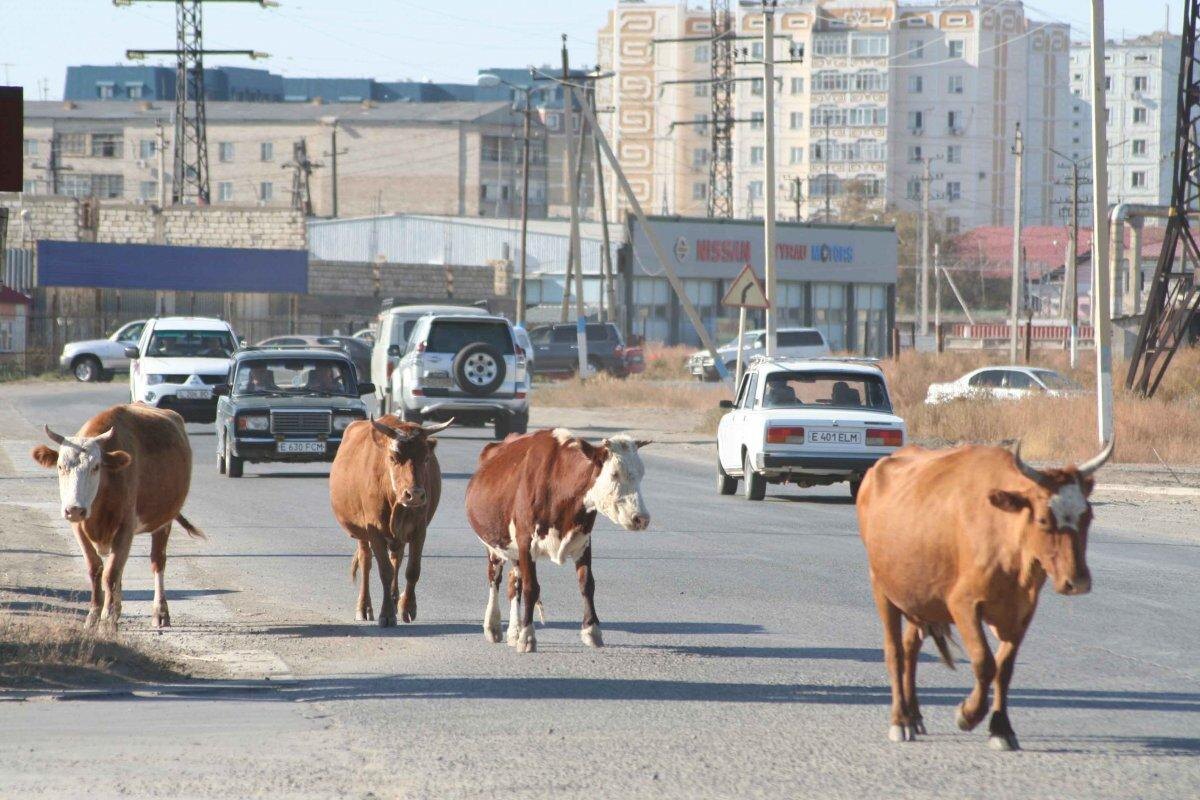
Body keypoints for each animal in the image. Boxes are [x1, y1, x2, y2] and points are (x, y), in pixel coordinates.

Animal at [29, 407, 206, 633]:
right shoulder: (79, 528)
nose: (74, 509)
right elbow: (96, 570)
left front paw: (107, 620)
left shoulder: (125, 528)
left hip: (164, 519)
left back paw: (160, 612)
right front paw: (95, 616)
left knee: (157, 562)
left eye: (96, 467)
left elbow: (111, 573)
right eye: (60, 467)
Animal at [328, 417, 451, 628]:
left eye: (426, 458)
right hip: (362, 533)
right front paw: (386, 614)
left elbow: (412, 570)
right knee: (366, 561)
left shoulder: (419, 530)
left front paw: (407, 607)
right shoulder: (374, 530)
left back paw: (394, 599)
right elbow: (384, 571)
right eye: (393, 458)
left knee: (397, 559)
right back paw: (364, 607)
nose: (415, 495)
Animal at [468, 429, 657, 652]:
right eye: (614, 474)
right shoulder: (525, 542)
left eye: (642, 474)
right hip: (494, 547)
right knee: (494, 579)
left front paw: (592, 631)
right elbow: (532, 588)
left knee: (514, 583)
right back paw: (493, 627)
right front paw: (527, 637)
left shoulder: (584, 540)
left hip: (514, 553)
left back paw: (514, 631)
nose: (642, 519)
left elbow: (587, 584)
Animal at [859, 438, 1108, 753]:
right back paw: (901, 720)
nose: (1077, 582)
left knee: (910, 648)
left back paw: (914, 715)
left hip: (920, 597)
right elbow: (984, 662)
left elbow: (1004, 668)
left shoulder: (1023, 610)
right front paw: (968, 714)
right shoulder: (963, 604)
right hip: (881, 587)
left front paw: (1001, 728)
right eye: (1042, 519)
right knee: (894, 652)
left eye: (1088, 516)